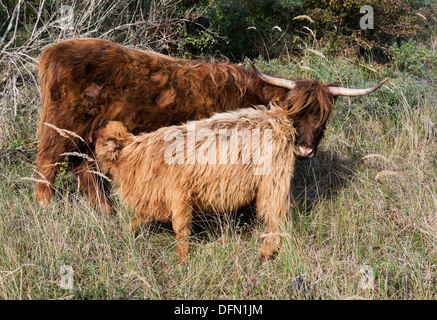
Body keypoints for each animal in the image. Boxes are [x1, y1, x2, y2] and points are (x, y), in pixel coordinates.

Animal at [93, 104, 294, 260]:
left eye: (100, 137)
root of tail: (276, 116)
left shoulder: (179, 196)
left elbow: (181, 230)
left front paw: (181, 259)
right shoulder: (153, 198)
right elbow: (137, 219)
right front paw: (123, 235)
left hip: (273, 183)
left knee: (275, 219)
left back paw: (266, 254)